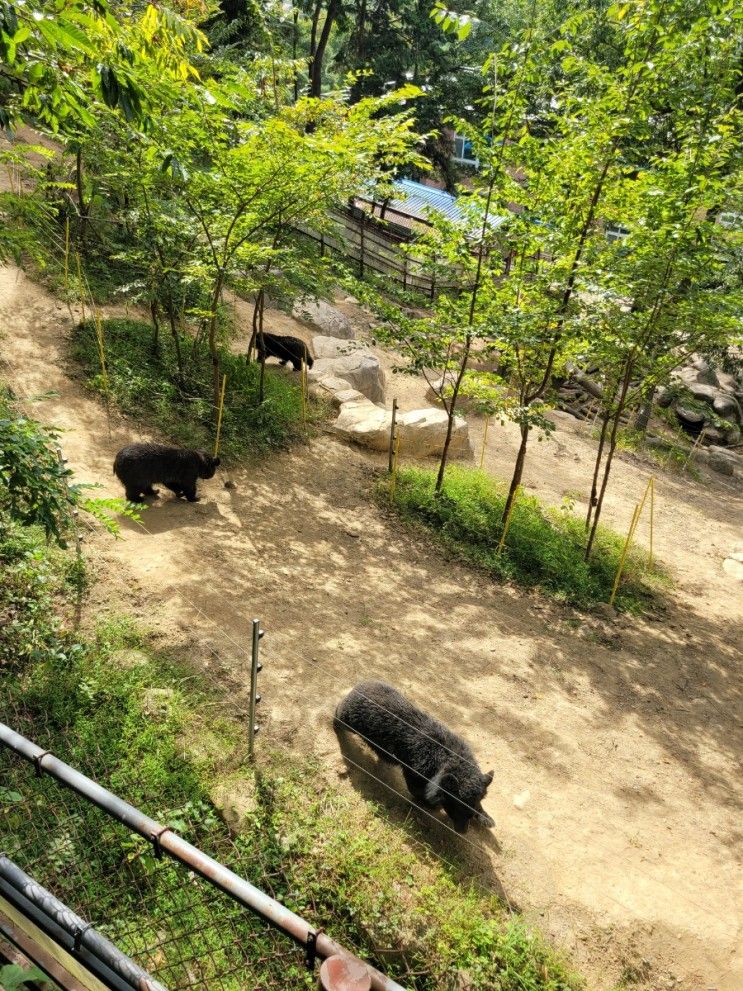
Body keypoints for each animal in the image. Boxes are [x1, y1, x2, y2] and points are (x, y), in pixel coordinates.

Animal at [336, 680, 494, 832]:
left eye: (473, 807)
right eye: (456, 806)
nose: (463, 831)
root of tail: (357, 686)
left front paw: (489, 821)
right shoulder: (415, 771)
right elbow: (417, 791)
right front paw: (431, 805)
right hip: (349, 719)